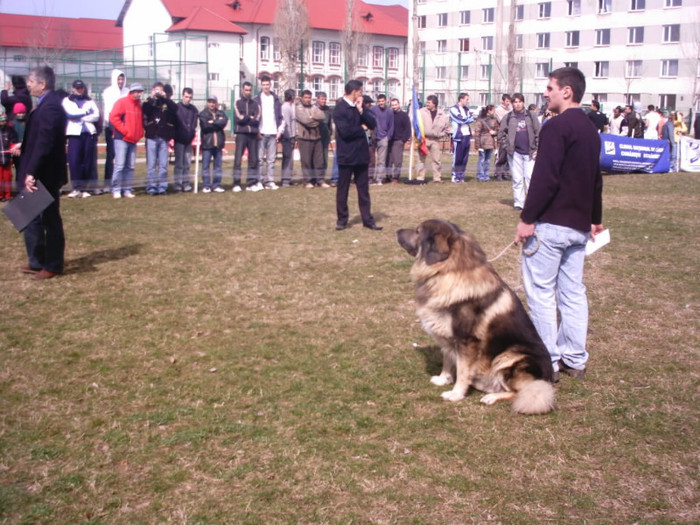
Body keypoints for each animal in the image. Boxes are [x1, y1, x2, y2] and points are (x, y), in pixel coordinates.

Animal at [400, 218, 552, 414]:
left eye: (418, 231)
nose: (397, 231)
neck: (446, 272)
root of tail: (548, 379)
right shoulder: (448, 338)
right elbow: (447, 360)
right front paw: (443, 379)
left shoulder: (466, 341)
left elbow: (463, 371)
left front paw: (455, 394)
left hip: (508, 357)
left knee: (520, 392)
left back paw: (491, 397)